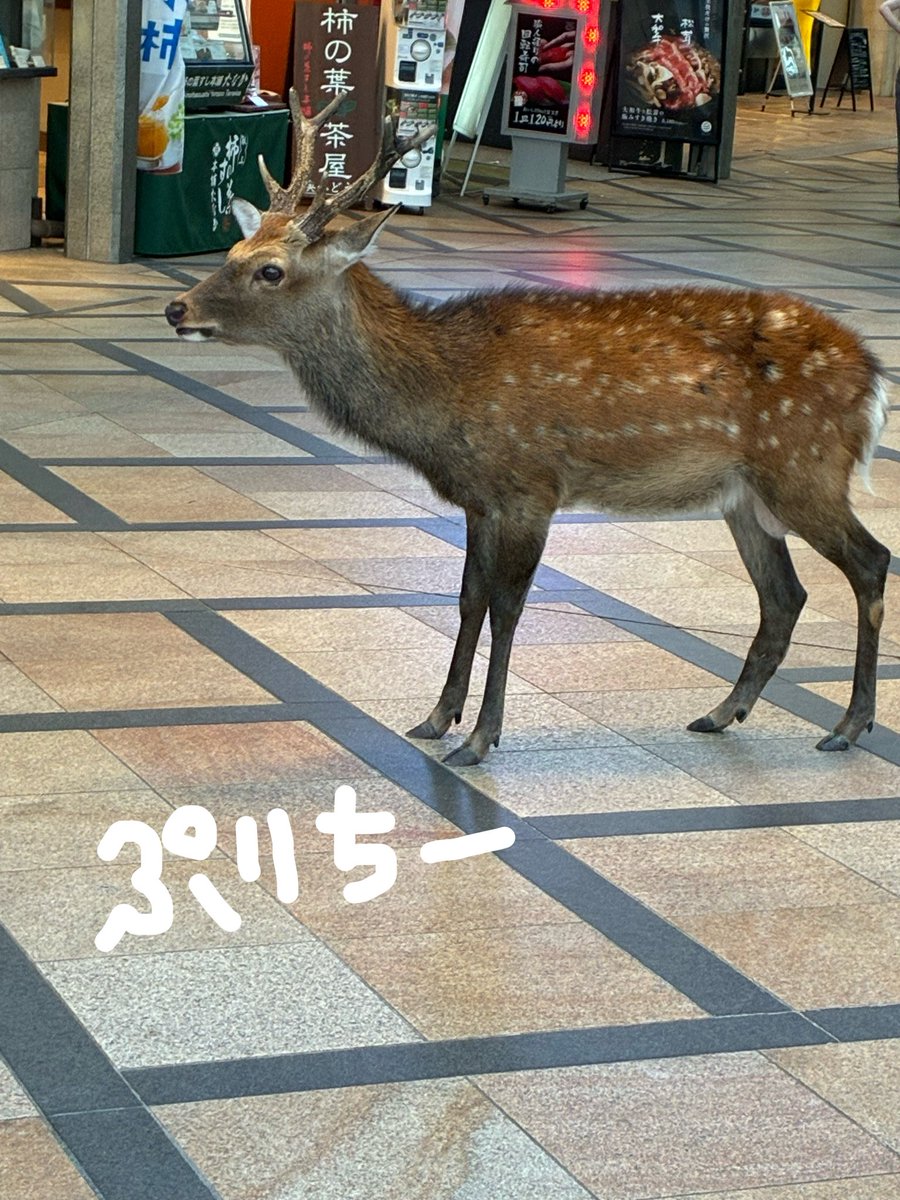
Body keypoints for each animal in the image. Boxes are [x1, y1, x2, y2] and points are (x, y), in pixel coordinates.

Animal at [165, 91, 891, 767]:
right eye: (233, 247)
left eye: (271, 270)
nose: (177, 308)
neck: (442, 394)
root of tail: (874, 378)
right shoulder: (479, 499)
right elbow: (467, 599)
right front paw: (436, 717)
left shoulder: (529, 488)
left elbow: (509, 609)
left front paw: (481, 737)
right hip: (747, 495)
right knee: (786, 595)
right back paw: (721, 712)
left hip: (804, 465)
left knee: (871, 562)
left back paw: (849, 725)